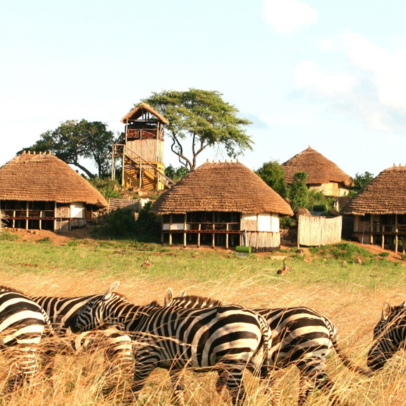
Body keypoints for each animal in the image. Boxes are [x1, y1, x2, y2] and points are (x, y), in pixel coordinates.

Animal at [71, 282, 272, 406]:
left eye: (87, 307)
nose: (71, 325)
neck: (137, 321)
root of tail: (258, 318)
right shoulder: (175, 365)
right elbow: (178, 393)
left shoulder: (145, 359)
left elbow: (134, 391)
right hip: (257, 362)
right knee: (269, 387)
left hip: (234, 360)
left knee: (239, 396)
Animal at [164, 288, 372, 406]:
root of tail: (325, 320)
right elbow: (221, 388)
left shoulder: (228, 363)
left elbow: (221, 389)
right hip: (310, 360)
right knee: (313, 387)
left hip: (310, 357)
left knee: (326, 385)